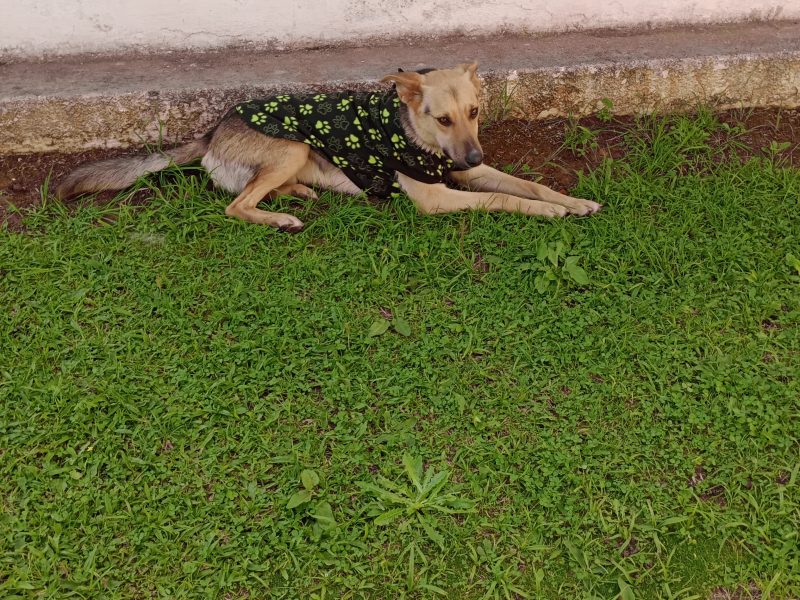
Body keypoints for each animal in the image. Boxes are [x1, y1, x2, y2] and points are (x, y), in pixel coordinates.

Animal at [57, 63, 600, 230]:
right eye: (442, 118)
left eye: (475, 112)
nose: (475, 155)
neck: (411, 131)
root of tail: (213, 129)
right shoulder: (438, 195)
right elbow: (502, 198)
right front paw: (549, 212)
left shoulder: (462, 172)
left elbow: (527, 184)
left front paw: (573, 201)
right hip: (292, 148)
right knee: (236, 204)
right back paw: (281, 216)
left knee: (252, 192)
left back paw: (298, 195)